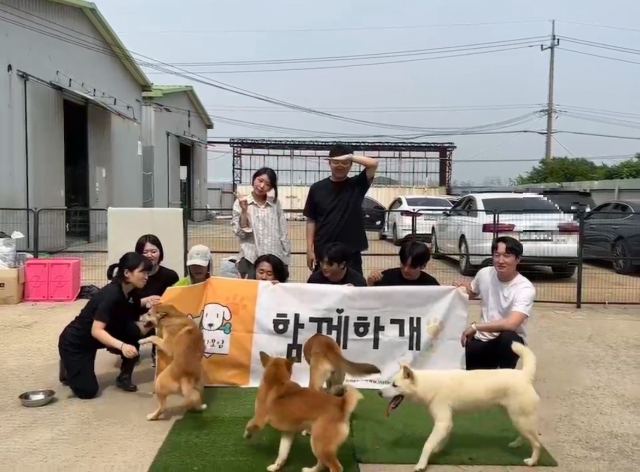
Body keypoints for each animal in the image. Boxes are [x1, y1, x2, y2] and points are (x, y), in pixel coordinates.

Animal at [380, 342, 540, 470]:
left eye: (395, 385)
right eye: (391, 383)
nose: (379, 393)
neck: (428, 385)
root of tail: (524, 375)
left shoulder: (443, 422)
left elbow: (428, 444)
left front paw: (421, 464)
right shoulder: (446, 423)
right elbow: (441, 439)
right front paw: (438, 450)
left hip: (520, 418)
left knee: (537, 443)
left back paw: (532, 461)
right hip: (514, 416)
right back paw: (517, 444)